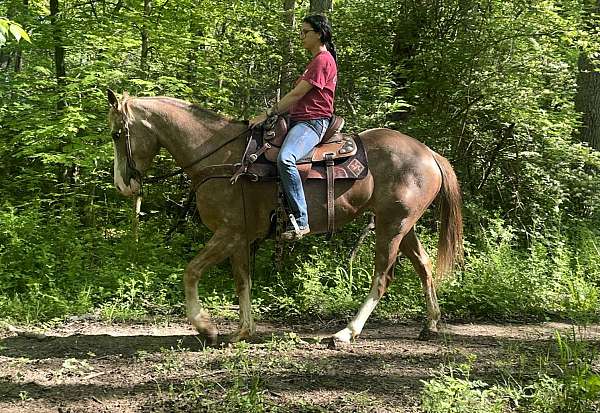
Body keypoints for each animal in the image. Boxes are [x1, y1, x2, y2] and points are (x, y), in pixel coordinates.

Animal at [106, 91, 464, 344]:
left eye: (115, 134)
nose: (123, 185)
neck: (221, 157)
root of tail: (429, 153)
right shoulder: (239, 236)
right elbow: (243, 281)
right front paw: (243, 331)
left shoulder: (227, 233)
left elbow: (191, 271)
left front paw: (205, 327)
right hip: (404, 226)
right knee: (424, 266)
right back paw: (431, 324)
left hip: (391, 227)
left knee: (382, 277)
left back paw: (345, 333)